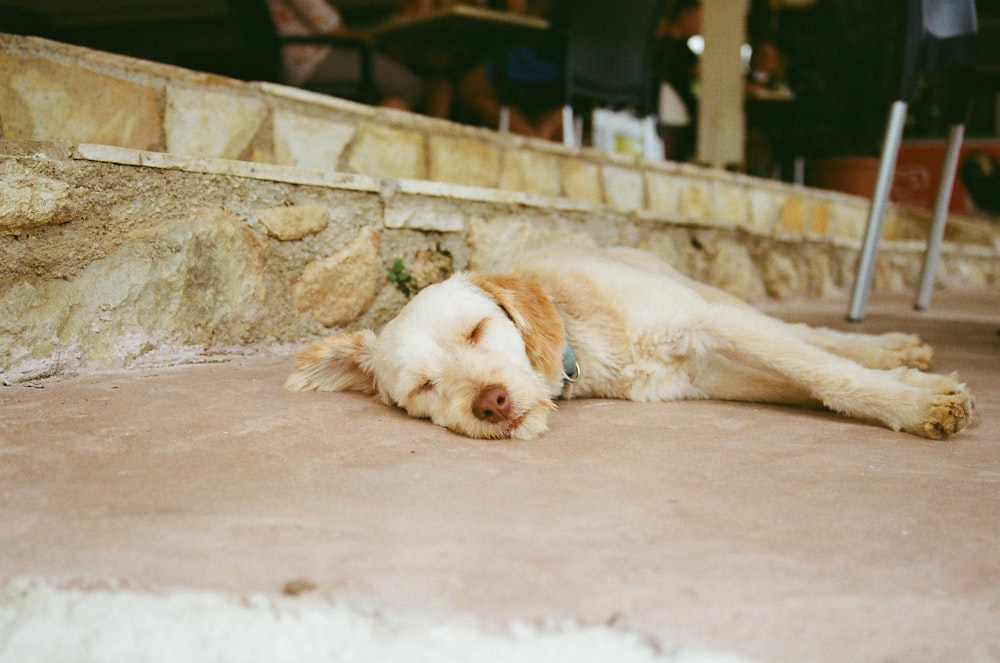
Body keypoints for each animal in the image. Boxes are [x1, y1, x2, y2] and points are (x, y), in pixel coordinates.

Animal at [286, 245, 972, 440]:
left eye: (476, 330)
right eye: (425, 387)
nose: (492, 404)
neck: (584, 341)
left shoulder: (710, 325)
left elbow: (829, 373)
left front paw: (914, 401)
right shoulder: (704, 376)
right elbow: (811, 381)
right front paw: (907, 391)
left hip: (718, 301)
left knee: (810, 334)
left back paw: (894, 348)